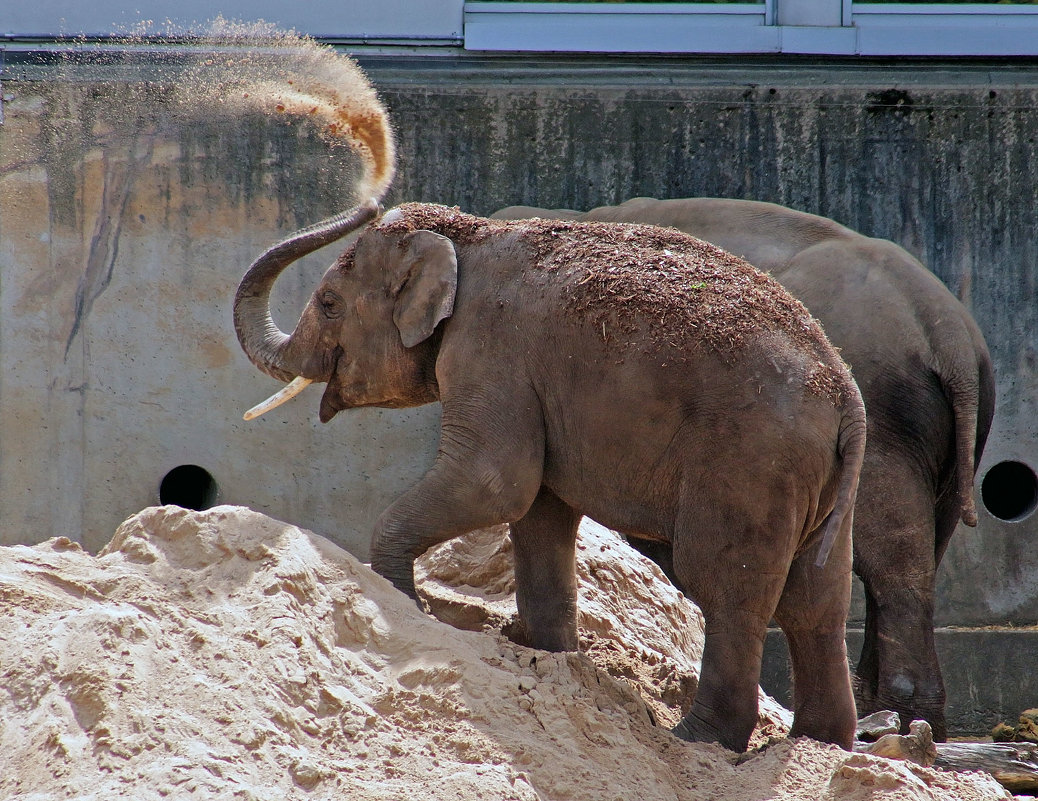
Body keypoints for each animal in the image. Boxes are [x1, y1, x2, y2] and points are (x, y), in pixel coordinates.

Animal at [233, 198, 867, 751]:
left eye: (329, 303)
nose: (368, 202)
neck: (468, 234)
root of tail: (845, 393)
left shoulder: (490, 353)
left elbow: (494, 481)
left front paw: (407, 607)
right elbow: (539, 510)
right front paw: (549, 656)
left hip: (748, 463)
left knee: (725, 587)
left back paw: (696, 740)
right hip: (816, 482)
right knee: (816, 601)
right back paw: (818, 741)